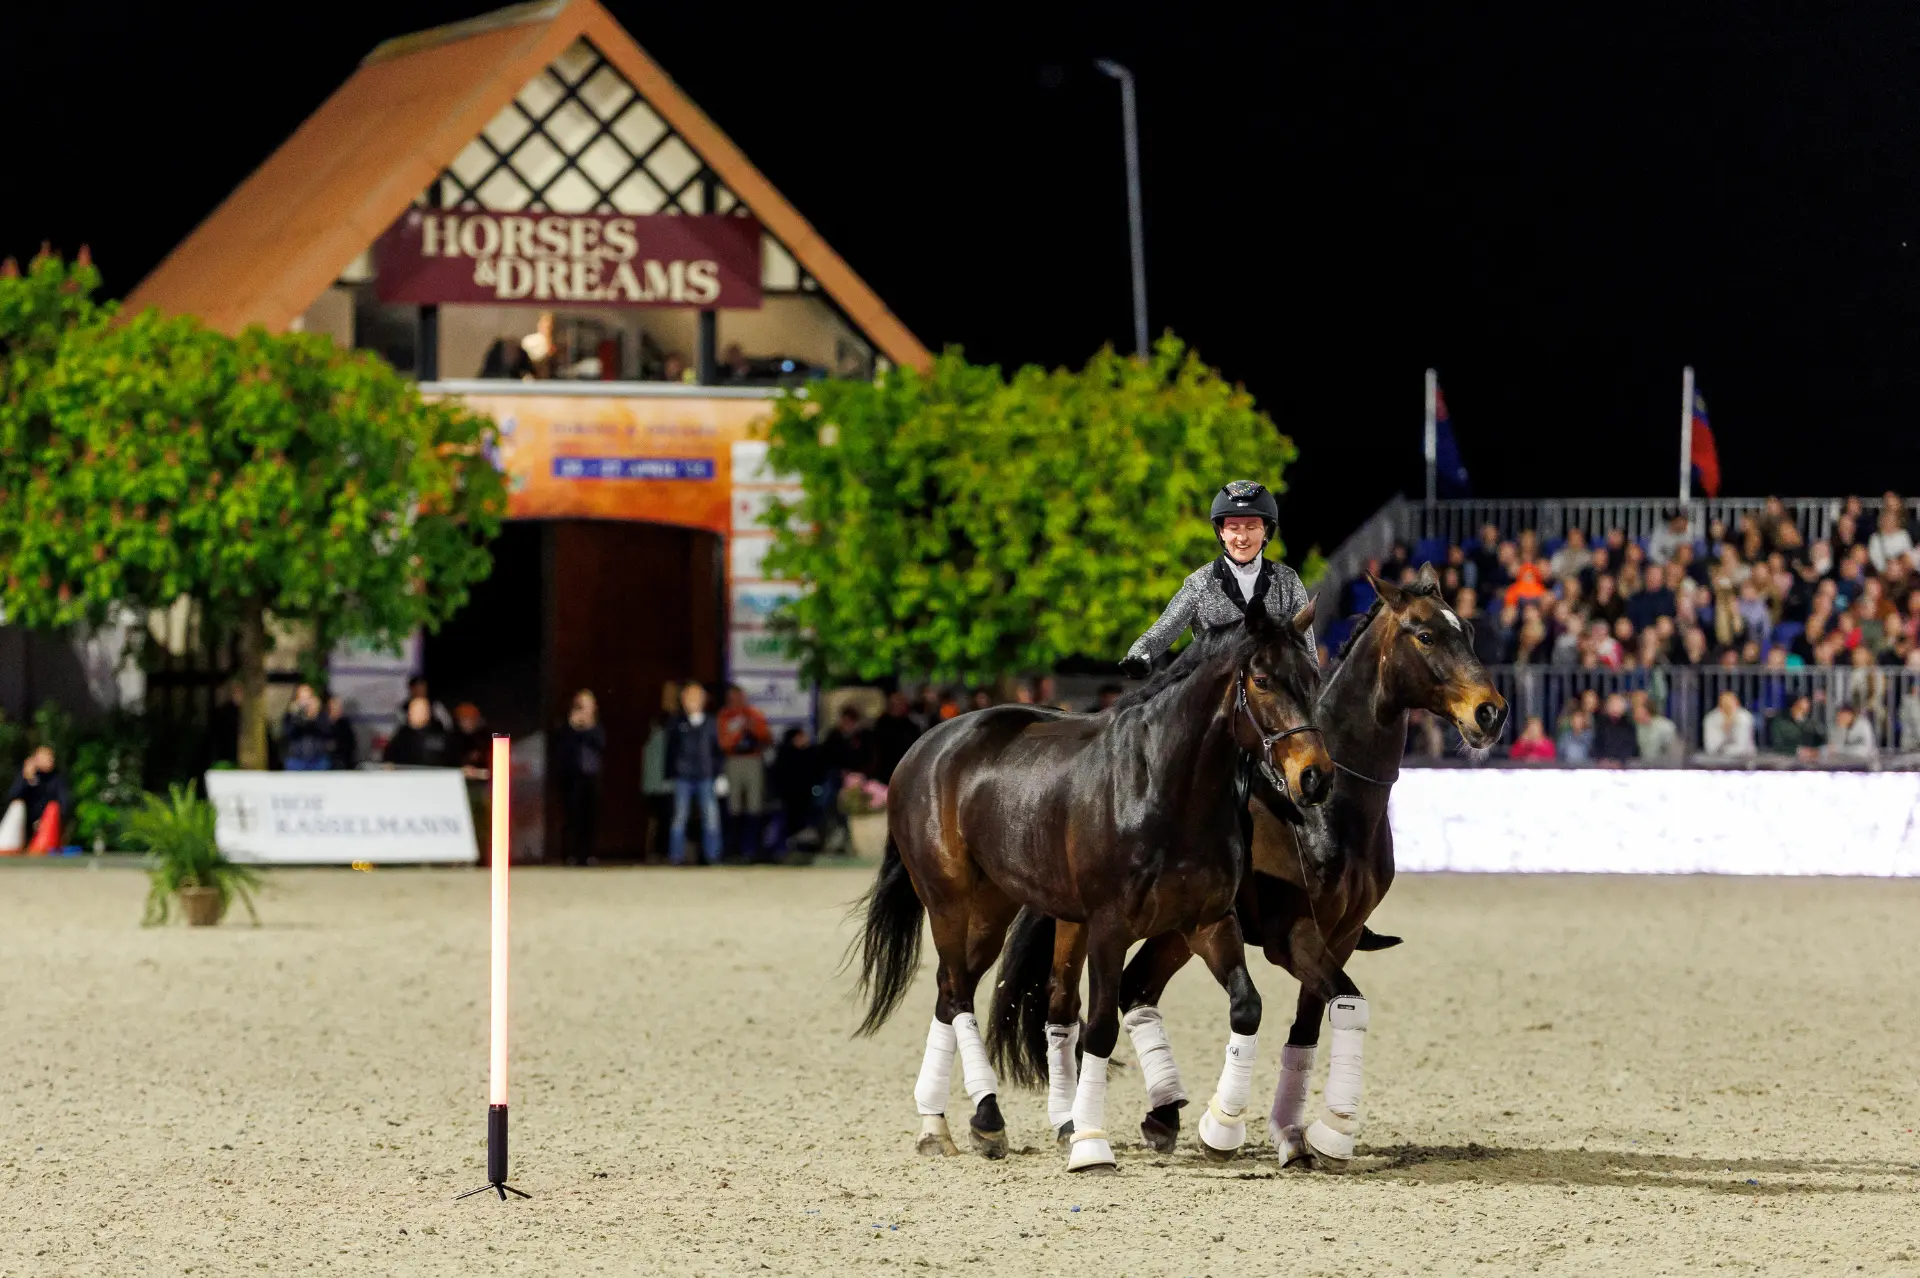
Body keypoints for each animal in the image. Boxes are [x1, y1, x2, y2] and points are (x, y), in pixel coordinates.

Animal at [849, 601, 1333, 1173]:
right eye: (1261, 679)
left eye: (1312, 676)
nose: (1315, 777)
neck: (1165, 786)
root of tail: (926, 746)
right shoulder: (1110, 927)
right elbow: (1100, 1025)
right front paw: (1092, 1145)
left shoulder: (1208, 922)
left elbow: (1246, 1007)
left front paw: (1220, 1129)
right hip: (947, 900)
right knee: (958, 989)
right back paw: (983, 1117)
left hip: (997, 906)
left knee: (965, 992)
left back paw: (946, 1124)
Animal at [989, 564, 1507, 1169]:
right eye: (1424, 635)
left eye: (1467, 630)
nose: (1491, 712)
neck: (1328, 809)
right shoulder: (1290, 935)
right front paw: (1292, 1131)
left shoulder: (1340, 934)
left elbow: (1318, 1022)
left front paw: (1302, 1136)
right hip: (1085, 925)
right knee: (1067, 1006)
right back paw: (1076, 1122)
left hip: (1177, 930)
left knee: (1137, 990)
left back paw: (1163, 1113)